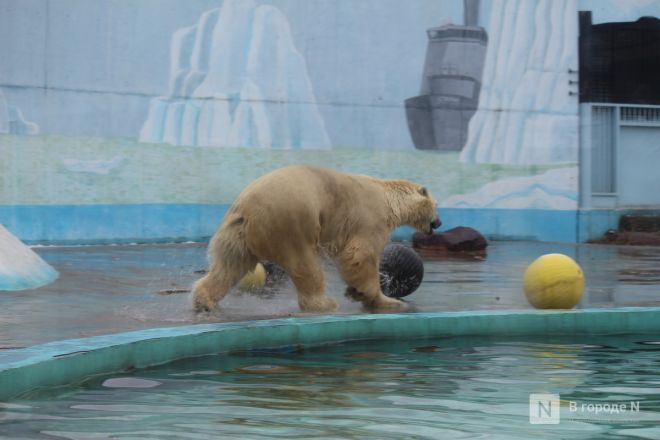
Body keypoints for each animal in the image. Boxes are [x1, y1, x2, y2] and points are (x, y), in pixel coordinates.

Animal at [193, 165, 440, 312]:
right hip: (291, 222)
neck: (388, 198)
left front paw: (359, 293)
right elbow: (360, 254)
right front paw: (379, 298)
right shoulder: (371, 219)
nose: (438, 223)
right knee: (305, 264)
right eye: (436, 205)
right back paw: (323, 303)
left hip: (237, 236)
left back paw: (204, 299)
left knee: (230, 266)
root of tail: (246, 210)